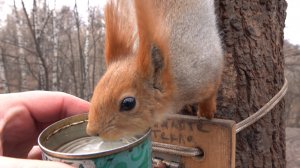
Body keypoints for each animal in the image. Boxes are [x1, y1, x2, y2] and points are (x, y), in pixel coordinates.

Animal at [86, 0, 223, 140]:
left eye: (128, 103)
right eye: (96, 90)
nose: (92, 132)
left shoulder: (207, 69)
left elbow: (211, 92)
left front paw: (207, 111)